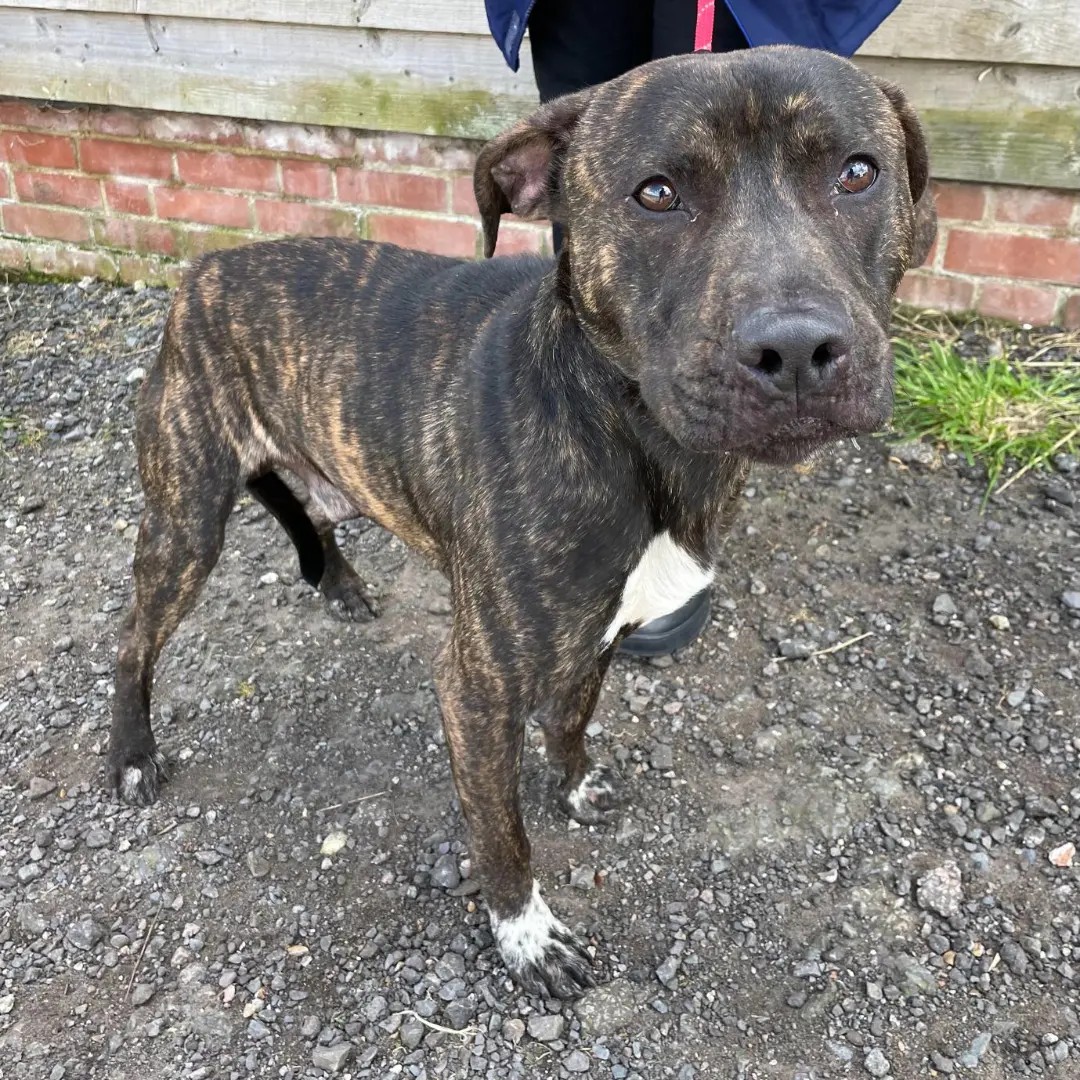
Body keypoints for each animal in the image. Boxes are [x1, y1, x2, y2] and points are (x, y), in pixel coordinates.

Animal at [111, 48, 937, 993]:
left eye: (857, 174)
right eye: (657, 193)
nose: (796, 350)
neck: (632, 436)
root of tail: (202, 271)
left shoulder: (603, 635)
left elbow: (572, 719)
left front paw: (574, 786)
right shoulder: (475, 691)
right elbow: (500, 832)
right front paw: (525, 933)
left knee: (314, 514)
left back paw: (343, 586)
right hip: (185, 523)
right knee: (133, 640)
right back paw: (131, 754)